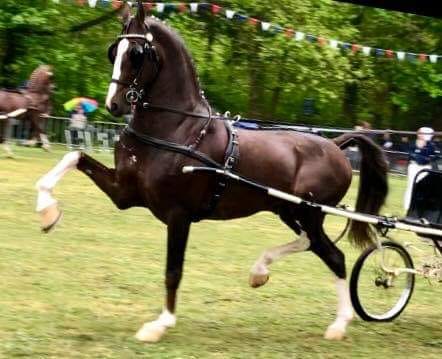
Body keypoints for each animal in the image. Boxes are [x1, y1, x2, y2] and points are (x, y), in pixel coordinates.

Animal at [34, 3, 386, 346]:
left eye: (135, 53)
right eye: (113, 51)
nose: (114, 104)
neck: (177, 130)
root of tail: (336, 145)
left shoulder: (178, 215)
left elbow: (173, 270)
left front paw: (160, 324)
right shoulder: (124, 193)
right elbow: (74, 155)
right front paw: (47, 211)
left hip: (308, 212)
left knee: (333, 256)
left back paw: (339, 324)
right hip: (288, 210)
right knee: (310, 244)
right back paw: (260, 272)